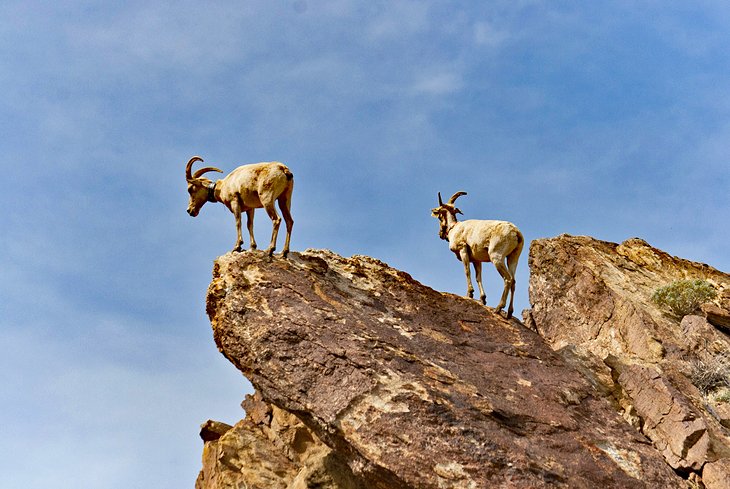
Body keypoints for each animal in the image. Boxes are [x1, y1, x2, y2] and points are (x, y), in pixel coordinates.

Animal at [430, 189, 520, 318]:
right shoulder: (477, 260)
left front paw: (470, 293)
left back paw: (498, 308)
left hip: (496, 257)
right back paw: (509, 313)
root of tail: (516, 232)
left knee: (507, 279)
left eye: (439, 216)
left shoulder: (463, 249)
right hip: (513, 258)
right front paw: (483, 299)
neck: (454, 229)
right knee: (513, 281)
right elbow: (478, 277)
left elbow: (467, 271)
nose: (440, 234)